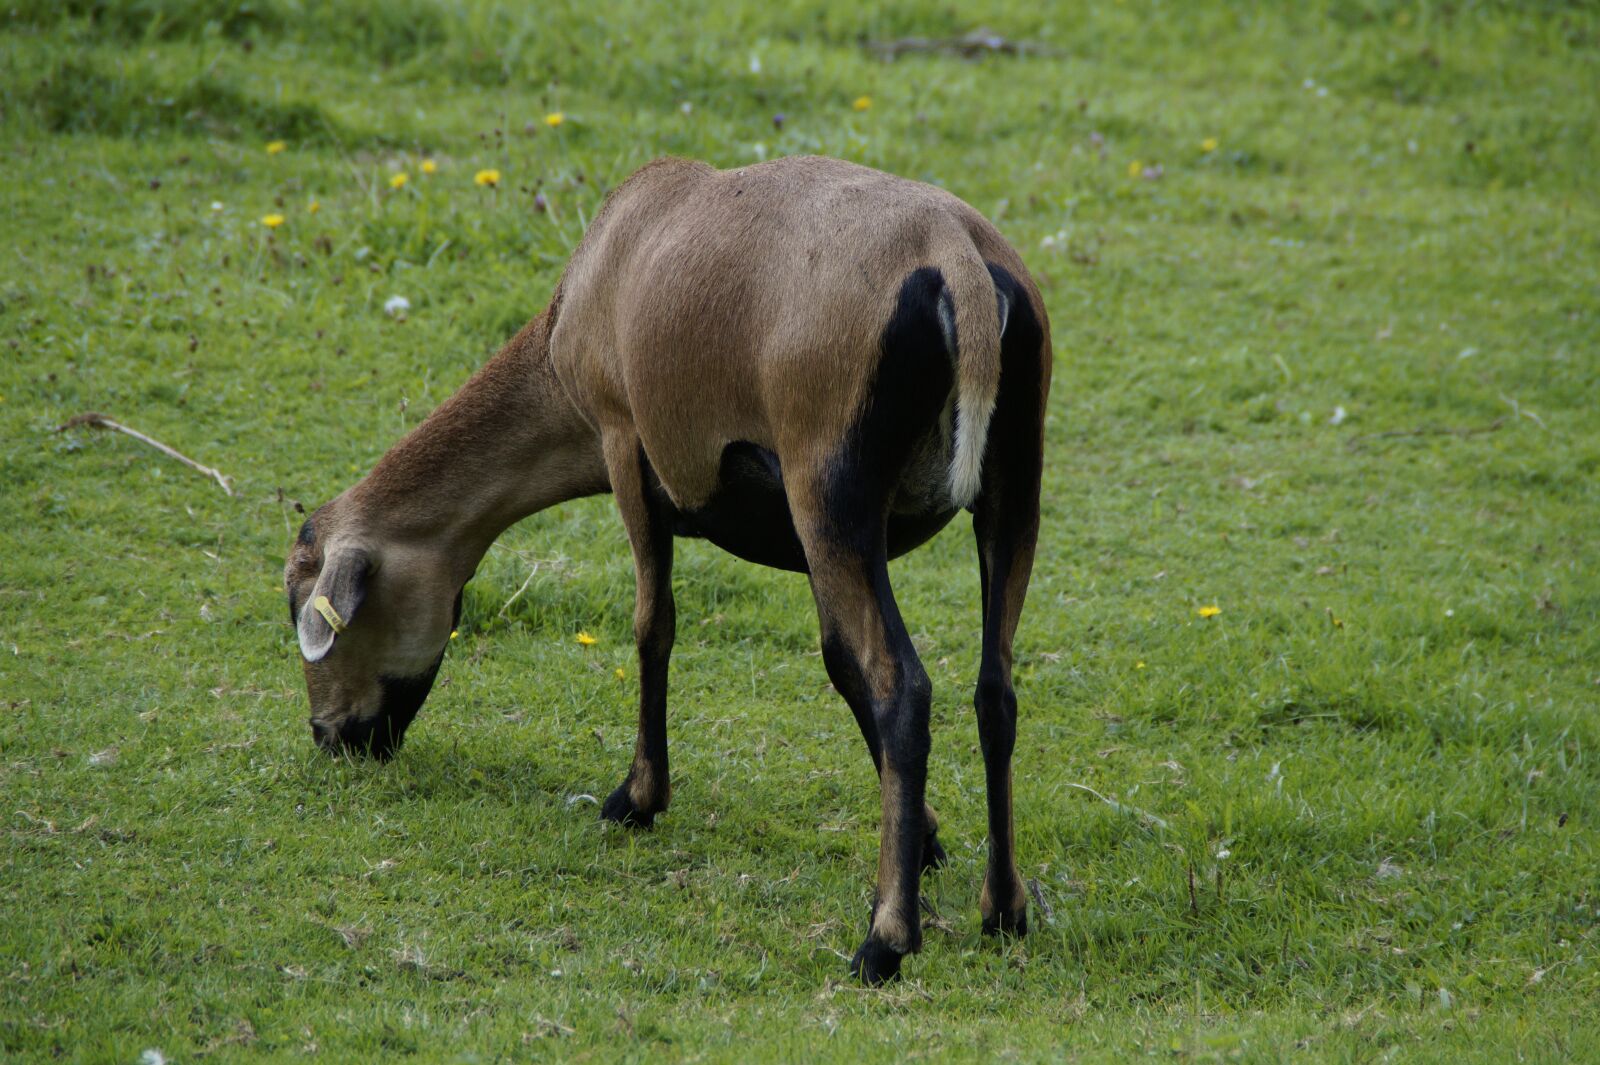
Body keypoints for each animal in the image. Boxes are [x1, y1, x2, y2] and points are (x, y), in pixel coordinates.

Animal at [284, 154, 1053, 984]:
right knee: (993, 689)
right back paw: (1004, 908)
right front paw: (930, 839)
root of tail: (956, 257)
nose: (332, 735)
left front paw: (637, 797)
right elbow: (836, 662)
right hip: (1011, 477)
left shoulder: (626, 442)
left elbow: (655, 627)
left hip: (833, 482)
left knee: (902, 685)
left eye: (309, 607)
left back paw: (885, 938)